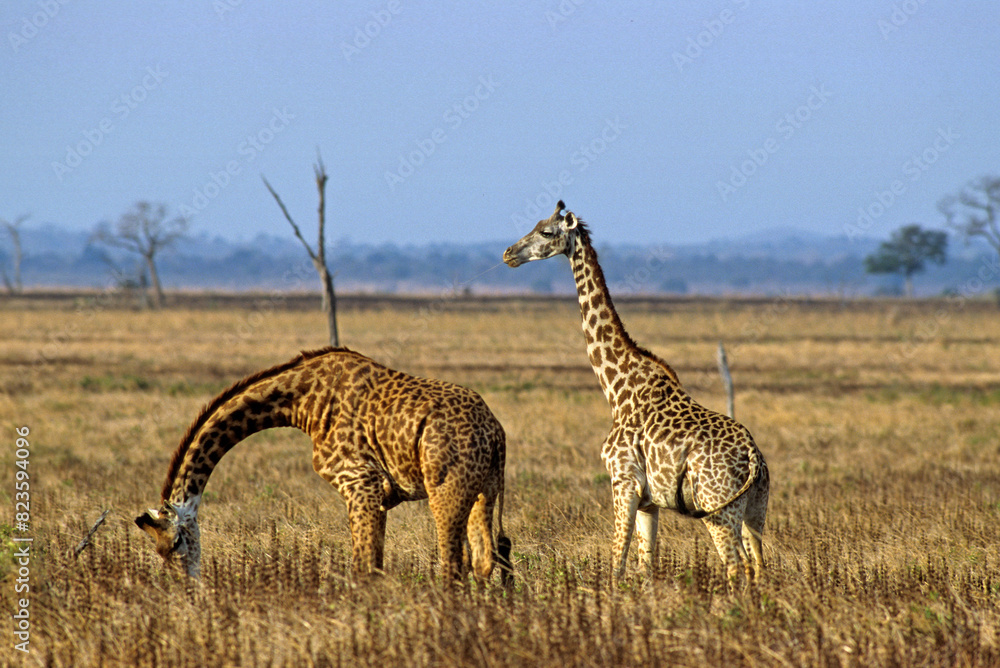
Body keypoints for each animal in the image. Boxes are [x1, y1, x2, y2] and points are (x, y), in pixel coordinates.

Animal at [135, 346, 512, 587]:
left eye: (174, 544)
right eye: (157, 552)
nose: (188, 590)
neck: (301, 402)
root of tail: (495, 432)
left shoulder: (361, 483)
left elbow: (365, 568)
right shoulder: (371, 492)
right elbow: (372, 565)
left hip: (446, 492)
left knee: (454, 565)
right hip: (485, 490)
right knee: (485, 559)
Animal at [503, 201, 769, 584]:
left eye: (547, 232)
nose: (509, 254)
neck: (618, 388)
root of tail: (752, 456)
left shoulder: (623, 481)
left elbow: (617, 561)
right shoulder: (649, 502)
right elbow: (646, 566)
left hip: (718, 508)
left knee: (737, 567)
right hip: (755, 510)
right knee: (760, 565)